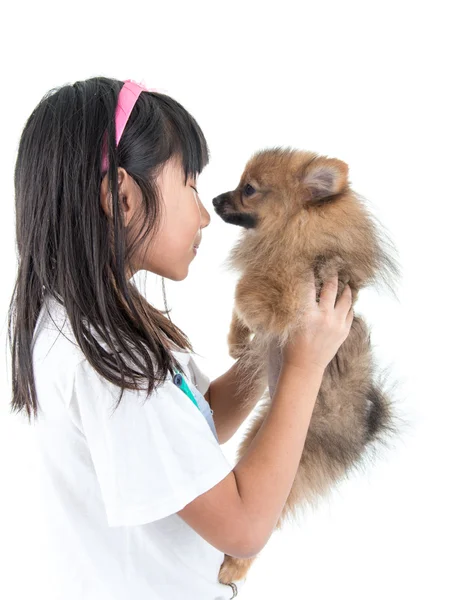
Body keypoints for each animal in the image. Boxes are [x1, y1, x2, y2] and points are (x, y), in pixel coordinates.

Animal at [213, 146, 406, 584]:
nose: (214, 199)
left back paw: (232, 567)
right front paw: (237, 341)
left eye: (248, 189)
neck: (295, 234)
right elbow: (242, 302)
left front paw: (242, 332)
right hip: (258, 435)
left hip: (297, 463)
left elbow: (242, 288)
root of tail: (360, 435)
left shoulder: (288, 294)